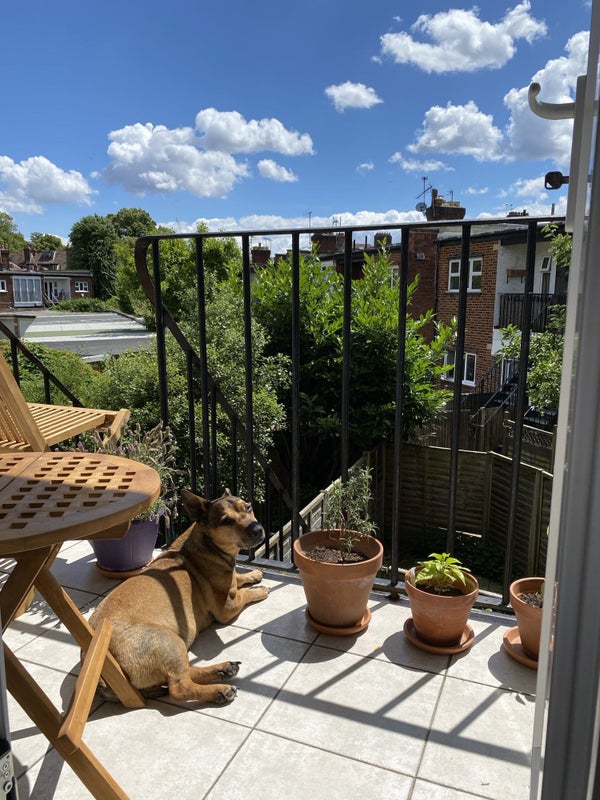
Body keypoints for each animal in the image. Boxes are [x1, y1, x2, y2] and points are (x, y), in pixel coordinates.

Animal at [89, 488, 269, 705]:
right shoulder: (227, 608)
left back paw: (223, 669)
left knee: (183, 673)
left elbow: (238, 577)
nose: (258, 529)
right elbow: (244, 594)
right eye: (226, 521)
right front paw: (260, 590)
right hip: (169, 642)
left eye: (248, 507)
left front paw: (253, 574)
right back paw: (219, 690)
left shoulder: (231, 581)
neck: (208, 544)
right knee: (179, 687)